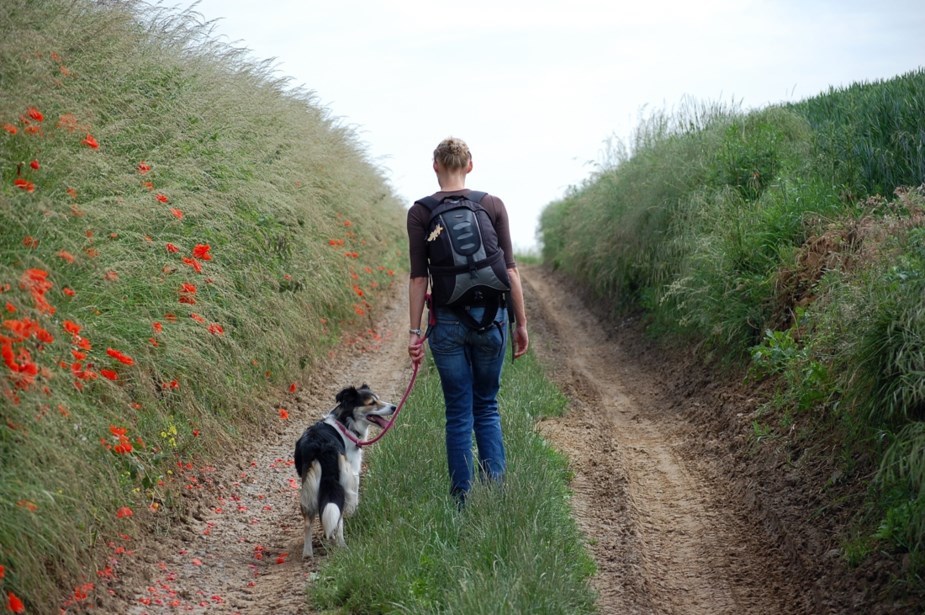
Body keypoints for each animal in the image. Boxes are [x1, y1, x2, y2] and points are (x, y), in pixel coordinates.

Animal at [294, 384, 395, 558]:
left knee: (308, 521)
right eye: (372, 402)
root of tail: (323, 446)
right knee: (339, 515)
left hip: (309, 485)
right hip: (342, 481)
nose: (394, 407)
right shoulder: (353, 473)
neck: (345, 422)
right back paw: (342, 545)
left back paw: (308, 553)